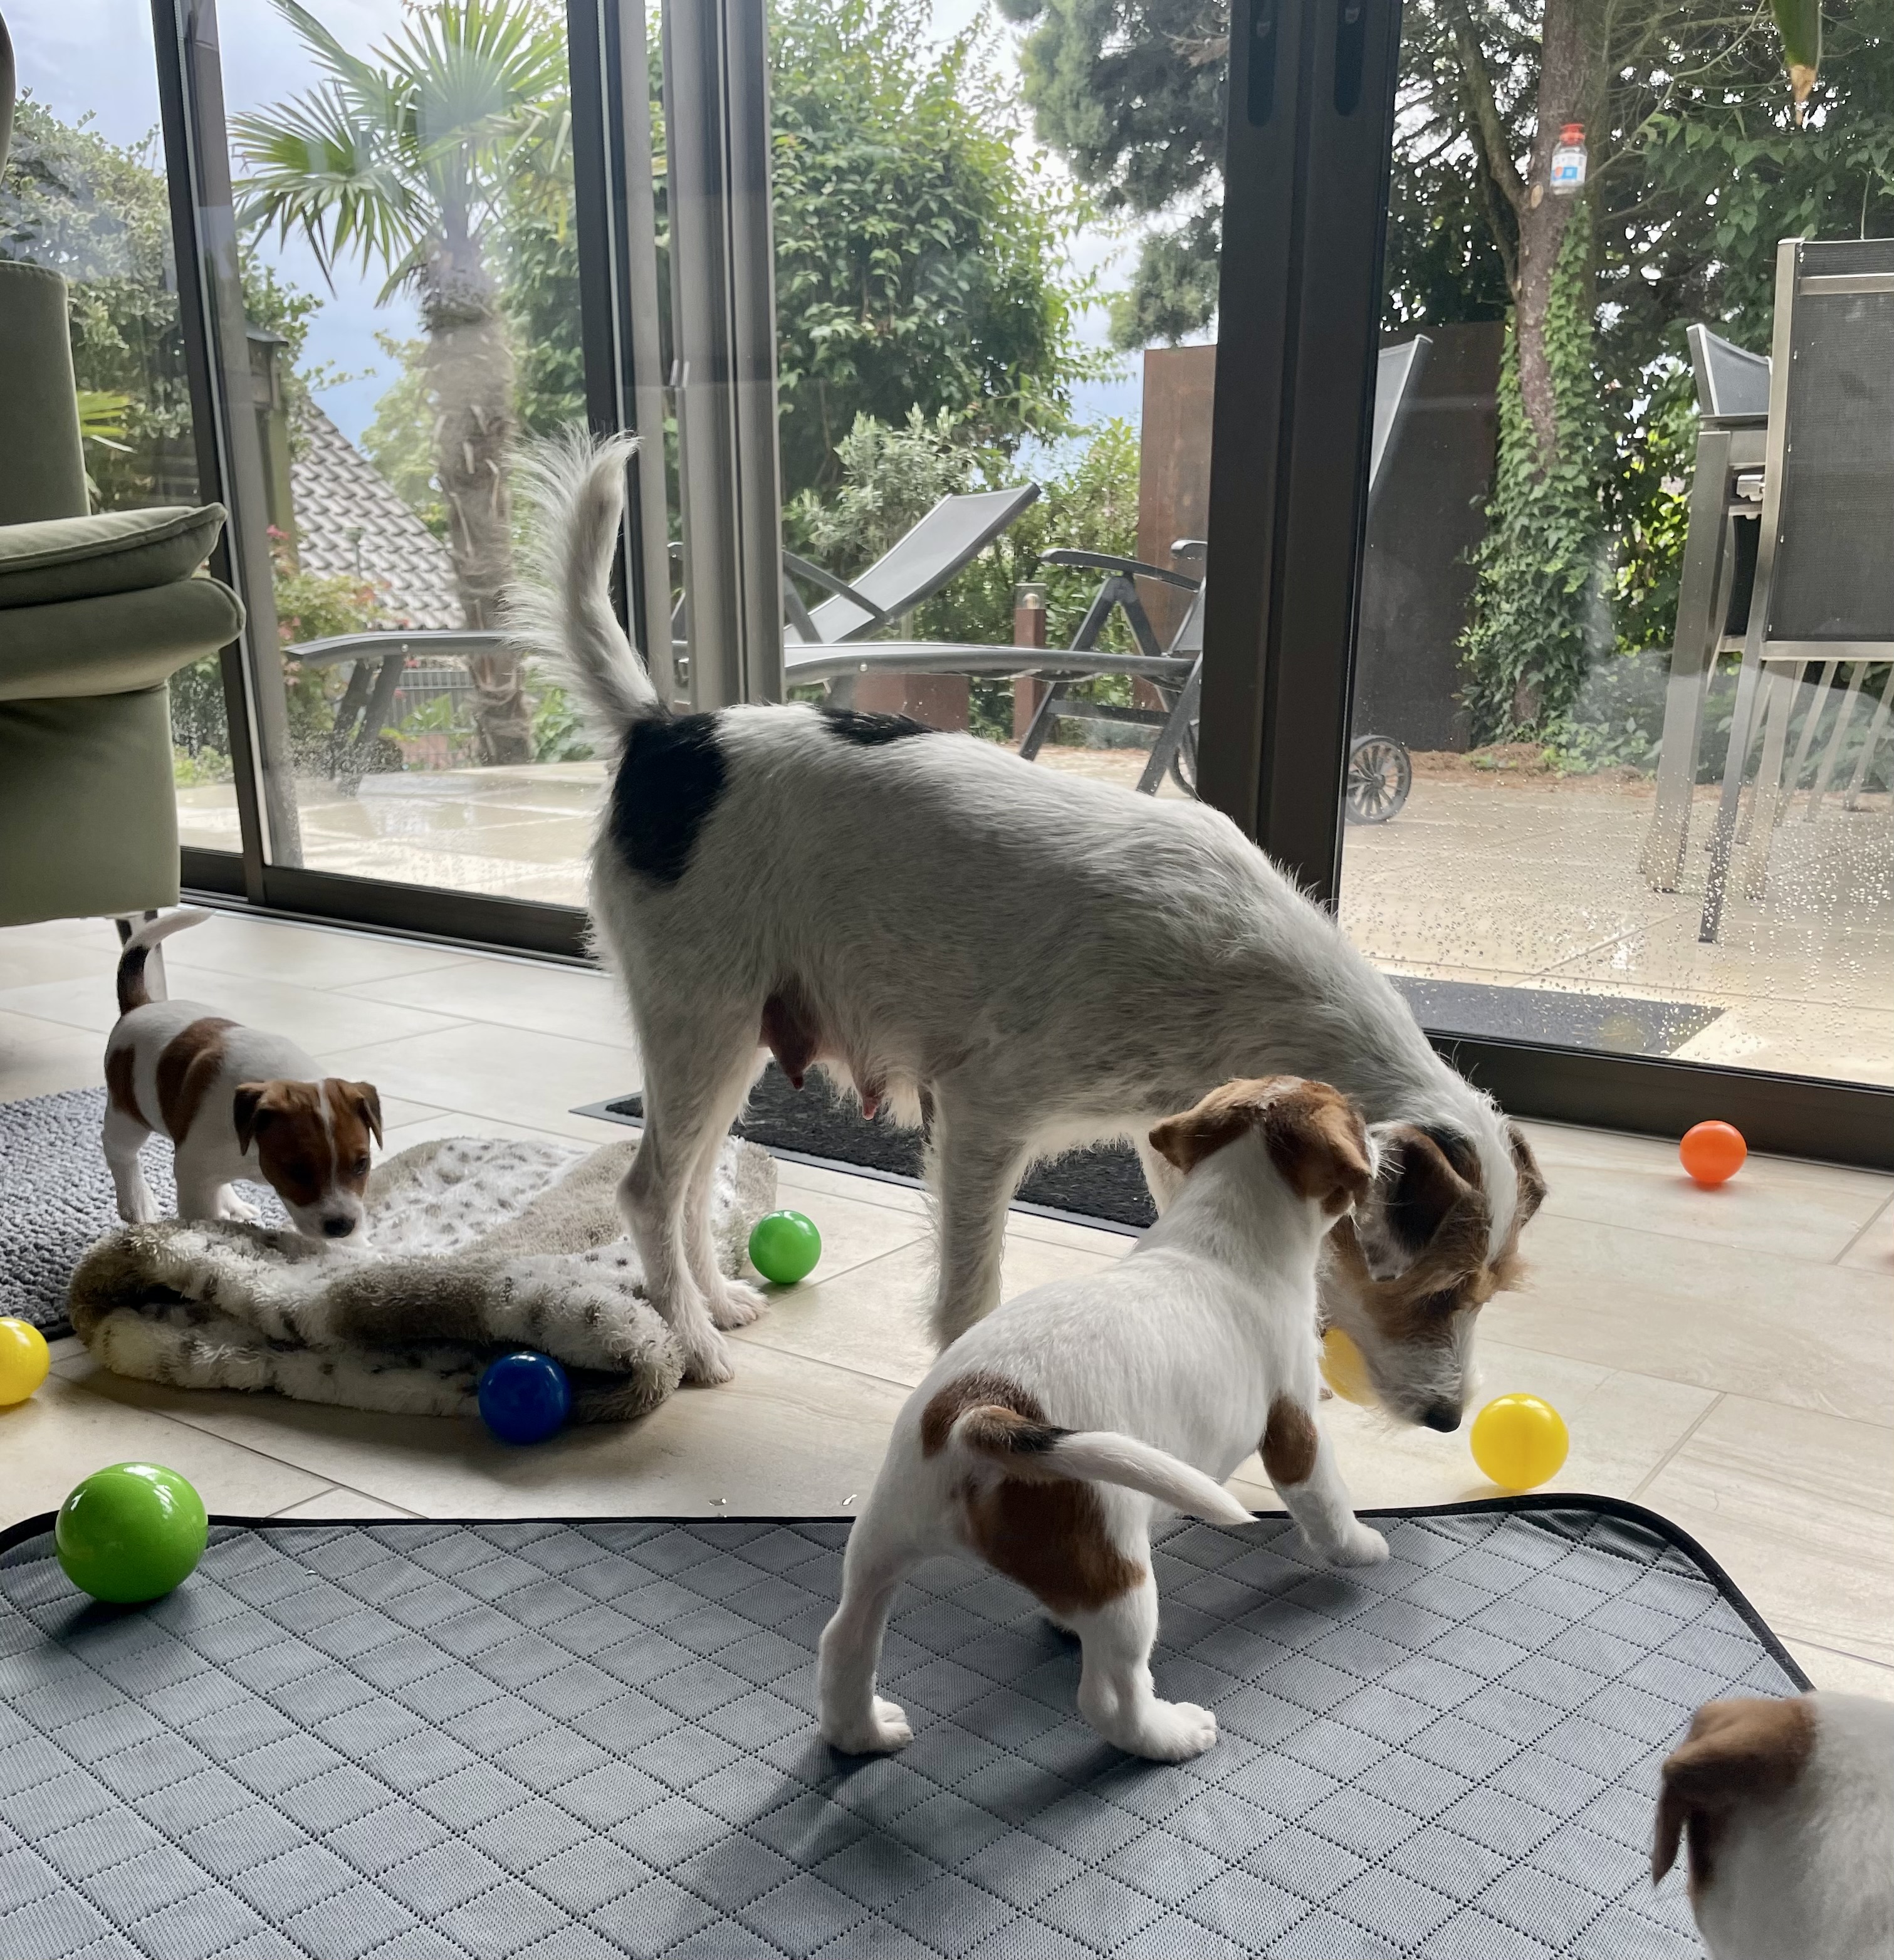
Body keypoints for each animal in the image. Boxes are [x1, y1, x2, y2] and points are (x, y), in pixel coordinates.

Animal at [102, 910, 382, 1242]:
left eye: (362, 1164)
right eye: (297, 1169)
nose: (341, 1227)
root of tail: (141, 1006)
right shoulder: (193, 1172)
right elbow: (201, 1215)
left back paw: (233, 1205)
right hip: (128, 1113)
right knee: (119, 1150)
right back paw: (136, 1202)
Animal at [513, 432, 1546, 1395]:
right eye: (1437, 1291)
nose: (1449, 1417)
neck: (1247, 974)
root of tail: (665, 734)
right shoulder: (982, 1118)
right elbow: (969, 1291)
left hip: (732, 1041)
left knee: (691, 1185)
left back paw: (714, 1303)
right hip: (703, 1024)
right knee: (651, 1191)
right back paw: (691, 1343)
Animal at [818, 1076, 1387, 1762]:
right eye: (1355, 1119)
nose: (1383, 1138)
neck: (1223, 1228)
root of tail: (977, 1415)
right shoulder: (1297, 1429)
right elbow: (1327, 1501)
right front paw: (1361, 1547)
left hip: (883, 1536)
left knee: (847, 1637)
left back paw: (863, 1732)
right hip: (1120, 1576)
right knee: (1111, 1697)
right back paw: (1172, 1735)